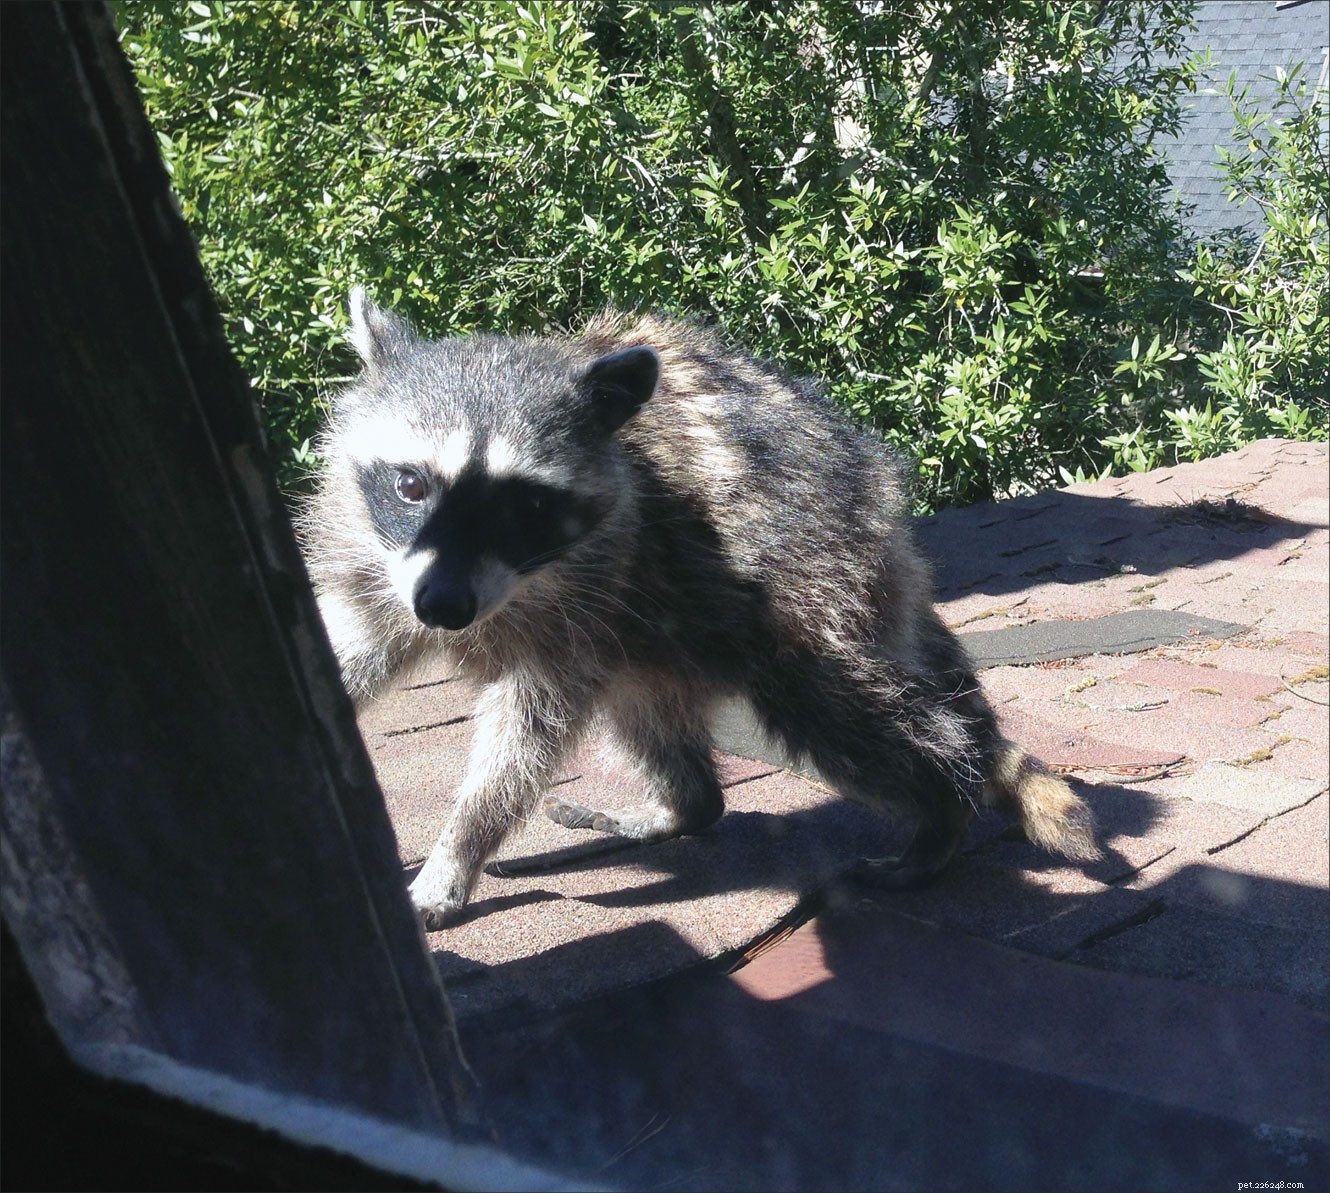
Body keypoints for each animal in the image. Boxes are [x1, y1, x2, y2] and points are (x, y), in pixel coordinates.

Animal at [300, 290, 1098, 929]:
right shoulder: (371, 558)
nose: (442, 608)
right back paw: (685, 803)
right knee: (645, 708)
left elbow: (525, 734)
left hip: (808, 578)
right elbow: (346, 649)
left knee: (838, 706)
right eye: (411, 485)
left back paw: (941, 808)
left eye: (523, 506)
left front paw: (460, 844)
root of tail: (885, 513)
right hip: (659, 622)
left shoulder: (595, 582)